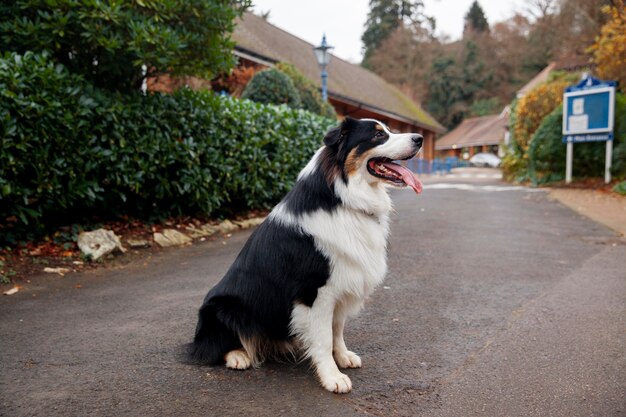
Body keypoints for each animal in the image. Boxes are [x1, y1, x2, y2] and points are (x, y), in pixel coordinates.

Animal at [188, 115, 422, 392]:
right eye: (378, 135)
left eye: (388, 129)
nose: (419, 139)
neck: (343, 198)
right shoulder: (315, 292)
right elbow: (323, 338)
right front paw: (332, 377)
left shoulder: (341, 284)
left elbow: (337, 329)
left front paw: (342, 356)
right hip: (222, 309)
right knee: (209, 349)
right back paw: (238, 356)